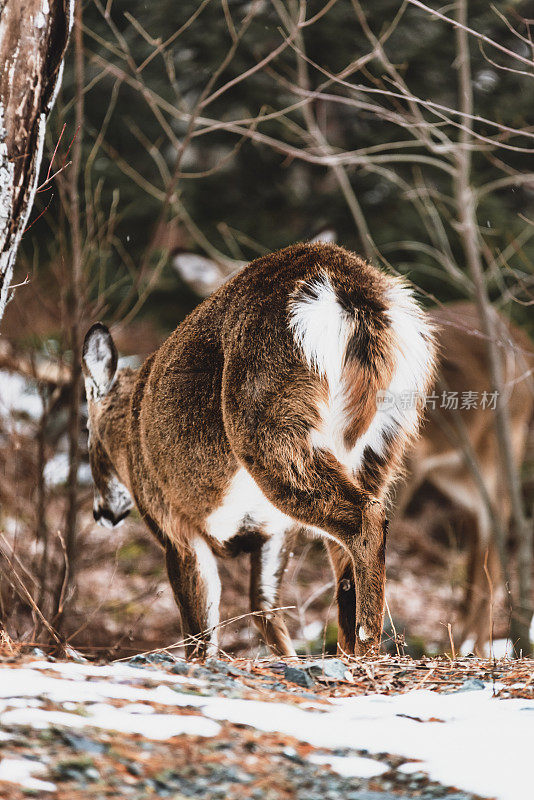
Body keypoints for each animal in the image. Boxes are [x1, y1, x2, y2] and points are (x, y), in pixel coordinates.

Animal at [82, 242, 436, 656]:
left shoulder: (173, 523)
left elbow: (200, 631)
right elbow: (264, 606)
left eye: (86, 430)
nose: (101, 513)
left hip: (268, 417)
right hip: (384, 438)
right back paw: (352, 651)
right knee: (348, 545)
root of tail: (346, 288)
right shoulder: (275, 530)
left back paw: (366, 648)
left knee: (365, 518)